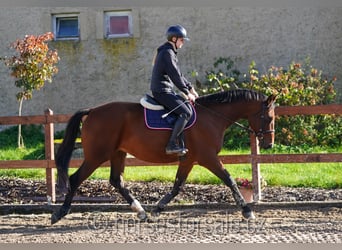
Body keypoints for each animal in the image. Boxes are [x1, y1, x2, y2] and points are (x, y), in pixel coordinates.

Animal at [50, 89, 276, 225]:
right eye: (268, 118)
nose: (269, 144)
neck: (212, 117)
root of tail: (92, 111)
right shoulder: (208, 157)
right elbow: (229, 180)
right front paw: (247, 211)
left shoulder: (189, 160)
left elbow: (177, 186)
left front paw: (157, 209)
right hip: (97, 155)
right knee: (75, 178)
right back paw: (59, 213)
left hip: (117, 153)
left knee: (116, 180)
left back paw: (140, 211)